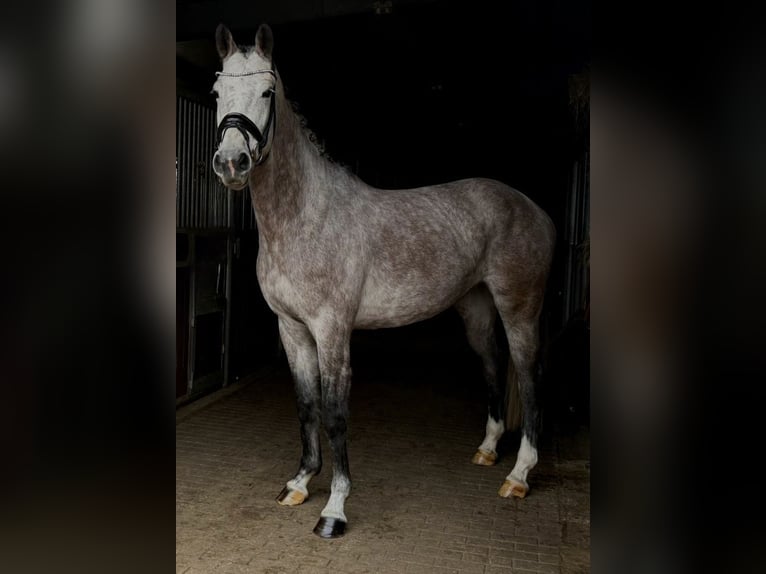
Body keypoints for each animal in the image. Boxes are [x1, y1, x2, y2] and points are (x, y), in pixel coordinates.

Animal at [211, 23, 556, 538]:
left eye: (267, 92)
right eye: (216, 93)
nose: (232, 162)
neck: (306, 217)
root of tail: (534, 209)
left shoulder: (332, 330)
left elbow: (335, 413)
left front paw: (334, 509)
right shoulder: (291, 329)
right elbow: (306, 405)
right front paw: (299, 483)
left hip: (520, 309)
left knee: (528, 375)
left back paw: (519, 475)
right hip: (475, 308)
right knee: (494, 366)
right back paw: (488, 450)